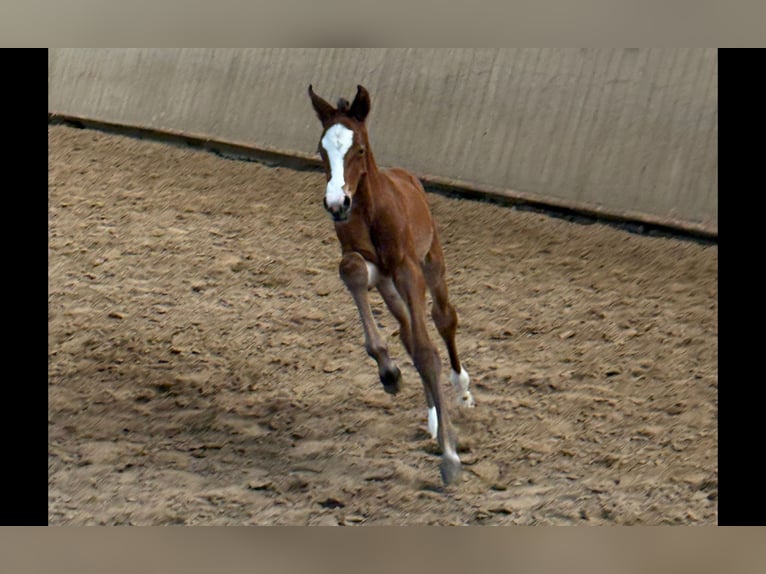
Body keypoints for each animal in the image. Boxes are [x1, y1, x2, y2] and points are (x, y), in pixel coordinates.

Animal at [308, 84, 475, 486]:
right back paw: (432, 416)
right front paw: (389, 373)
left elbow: (429, 348)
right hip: (389, 287)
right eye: (322, 150)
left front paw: (450, 456)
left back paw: (461, 390)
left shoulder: (406, 268)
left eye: (359, 149)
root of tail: (406, 174)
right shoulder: (373, 269)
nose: (337, 203)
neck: (370, 210)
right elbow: (351, 270)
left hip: (432, 262)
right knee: (408, 333)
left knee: (443, 319)